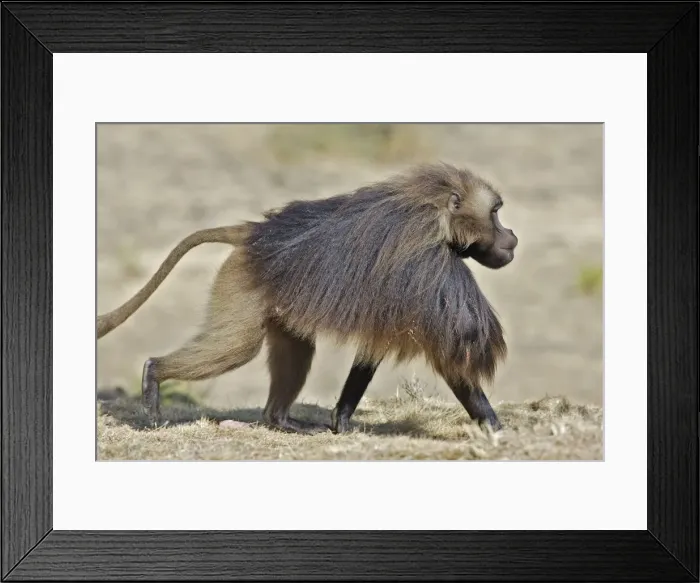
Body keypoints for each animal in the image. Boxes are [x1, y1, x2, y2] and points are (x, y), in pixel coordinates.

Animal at [97, 162, 518, 435]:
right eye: (496, 212)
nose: (512, 237)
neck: (435, 212)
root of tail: (255, 233)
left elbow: (373, 350)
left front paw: (341, 420)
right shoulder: (431, 270)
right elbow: (455, 352)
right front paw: (494, 426)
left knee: (295, 347)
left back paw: (281, 420)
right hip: (243, 281)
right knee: (237, 346)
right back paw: (153, 376)